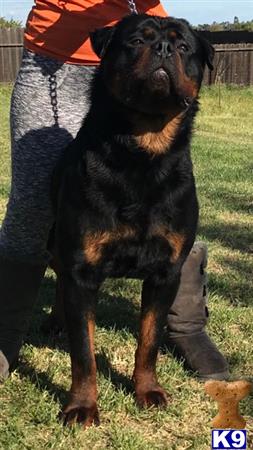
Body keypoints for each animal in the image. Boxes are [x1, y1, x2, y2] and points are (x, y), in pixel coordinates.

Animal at [51, 14, 213, 428]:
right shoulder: (82, 269)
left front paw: (147, 391)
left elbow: (149, 340)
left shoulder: (166, 272)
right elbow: (84, 352)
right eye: (137, 40)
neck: (142, 152)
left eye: (184, 46)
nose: (163, 48)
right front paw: (81, 406)